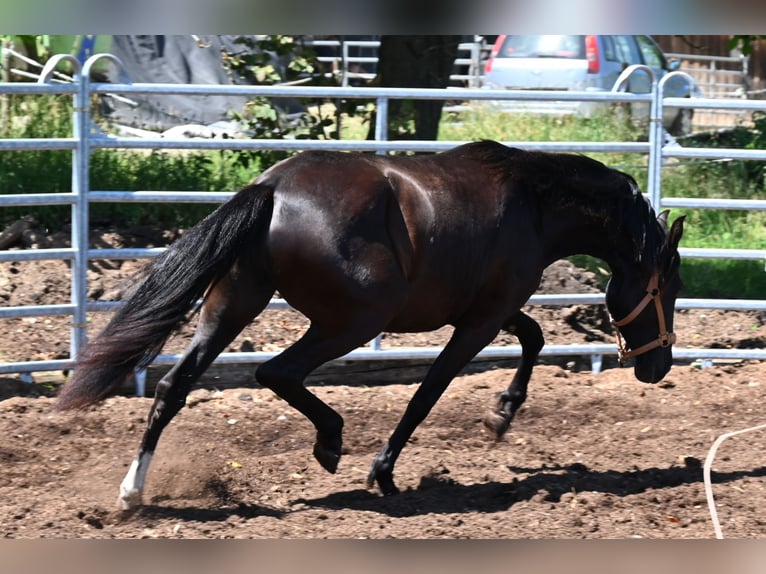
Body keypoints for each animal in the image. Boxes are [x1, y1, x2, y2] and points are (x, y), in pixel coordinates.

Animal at [55, 140, 685, 510]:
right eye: (670, 286)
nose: (658, 366)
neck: (532, 199)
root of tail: (272, 188)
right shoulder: (479, 321)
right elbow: (428, 392)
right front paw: (383, 471)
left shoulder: (489, 308)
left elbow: (533, 336)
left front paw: (500, 416)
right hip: (353, 319)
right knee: (275, 373)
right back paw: (330, 442)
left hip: (233, 303)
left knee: (173, 385)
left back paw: (133, 492)